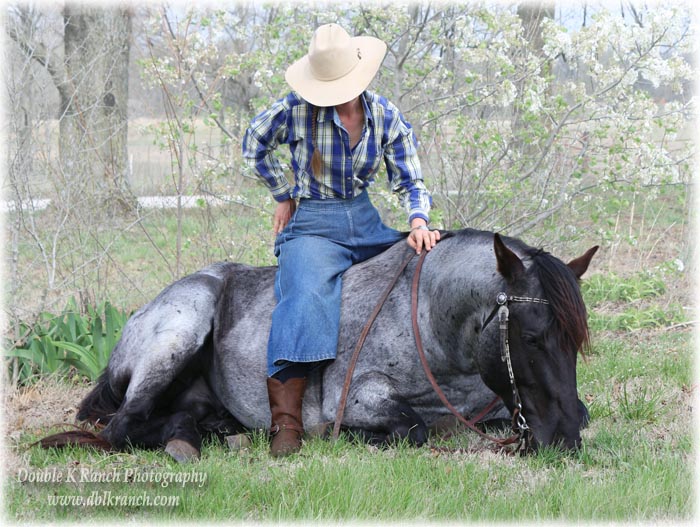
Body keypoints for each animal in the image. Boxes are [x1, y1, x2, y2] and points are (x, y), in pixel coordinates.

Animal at [41, 228, 598, 460]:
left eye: (574, 345)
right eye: (531, 337)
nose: (564, 440)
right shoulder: (355, 396)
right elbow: (413, 428)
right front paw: (355, 436)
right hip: (182, 327)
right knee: (123, 428)